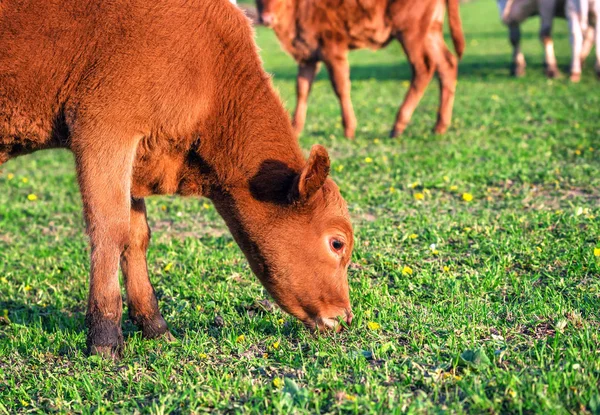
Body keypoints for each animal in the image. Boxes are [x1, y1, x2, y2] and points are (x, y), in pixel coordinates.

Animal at [0, 0, 354, 360]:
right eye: (337, 243)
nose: (345, 316)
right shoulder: (103, 131)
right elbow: (111, 229)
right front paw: (104, 335)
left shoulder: (138, 152)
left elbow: (136, 235)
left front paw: (155, 326)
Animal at [255, 0, 466, 140]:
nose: (266, 18)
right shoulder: (308, 56)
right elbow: (302, 89)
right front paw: (294, 129)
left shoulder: (333, 49)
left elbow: (340, 86)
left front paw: (349, 129)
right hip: (431, 31)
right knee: (447, 64)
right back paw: (439, 127)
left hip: (411, 32)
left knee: (424, 68)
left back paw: (398, 126)